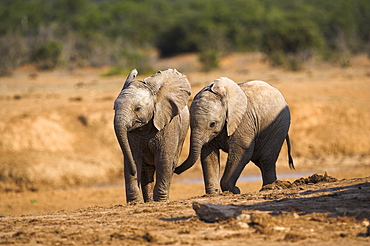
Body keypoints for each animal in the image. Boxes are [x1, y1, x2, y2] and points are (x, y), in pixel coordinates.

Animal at [114, 67, 191, 202]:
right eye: (114, 108)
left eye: (138, 108)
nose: (134, 173)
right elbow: (133, 157)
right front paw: (135, 203)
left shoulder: (169, 124)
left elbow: (163, 159)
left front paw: (161, 201)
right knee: (146, 170)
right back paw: (149, 201)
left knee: (170, 164)